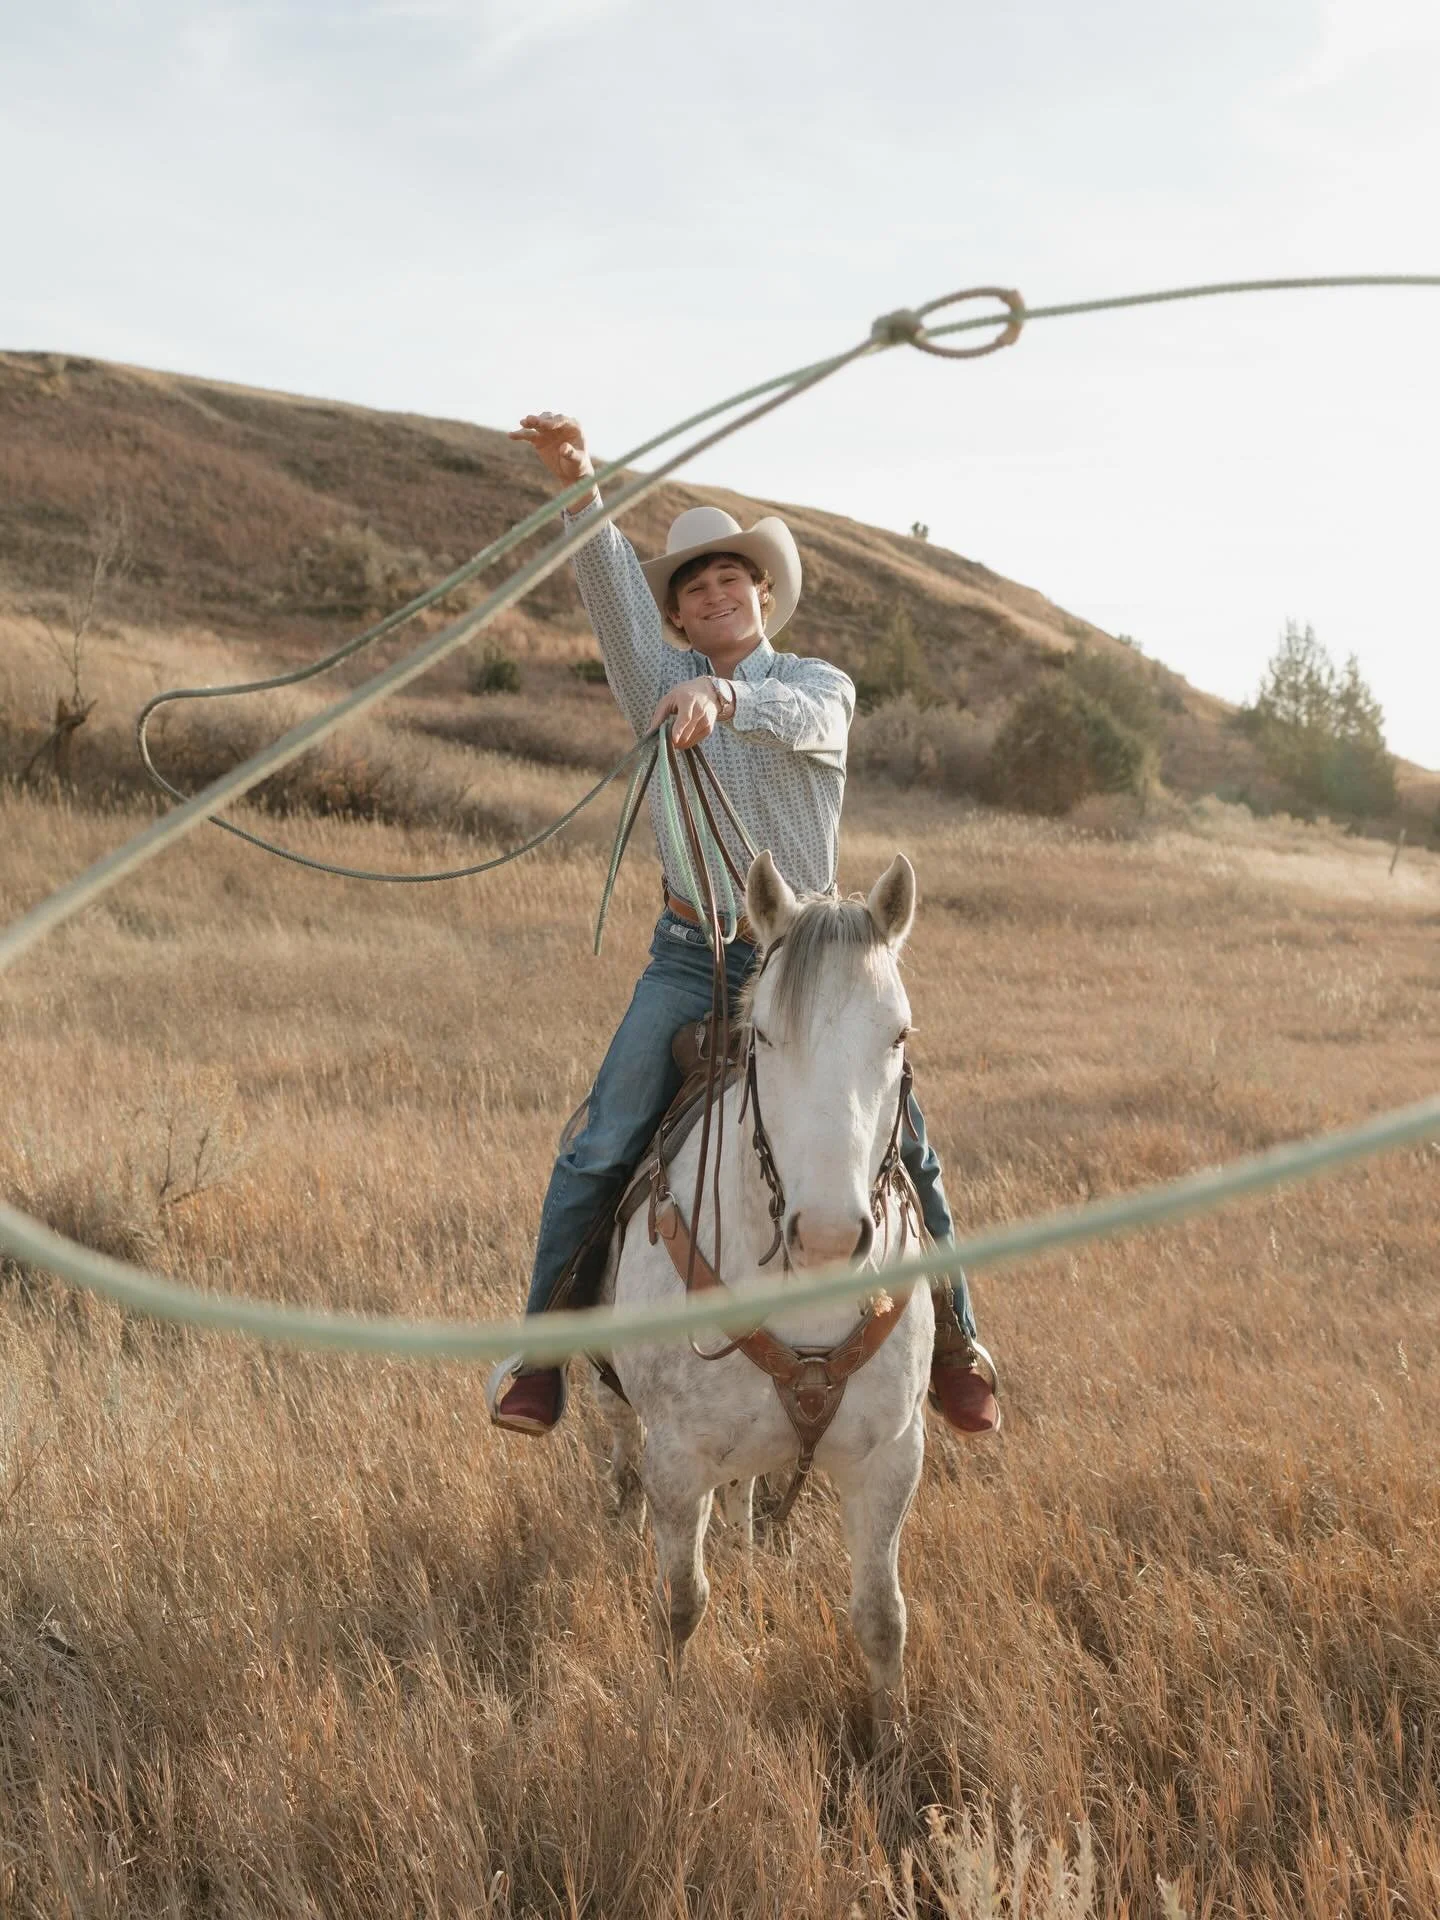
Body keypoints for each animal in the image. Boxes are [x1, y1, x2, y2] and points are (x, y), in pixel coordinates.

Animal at [596, 849, 934, 1728]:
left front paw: (892, 1741)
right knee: (618, 1439)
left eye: (897, 1034)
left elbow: (882, 1618)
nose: (830, 1236)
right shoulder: (677, 1461)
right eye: (767, 1038)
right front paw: (668, 1721)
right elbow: (681, 1602)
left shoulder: (890, 1457)